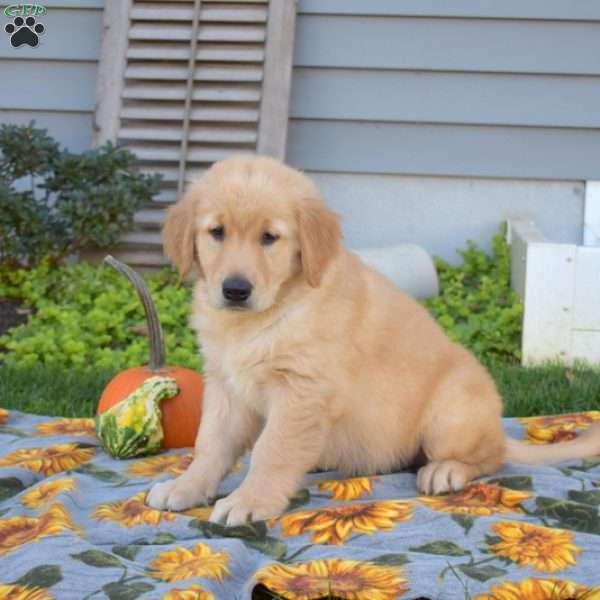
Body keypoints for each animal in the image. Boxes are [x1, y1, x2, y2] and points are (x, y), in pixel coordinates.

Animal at [148, 155, 600, 524]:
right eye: (217, 232)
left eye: (269, 238)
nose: (235, 290)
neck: (269, 313)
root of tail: (496, 426)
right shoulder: (226, 385)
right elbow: (210, 444)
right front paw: (185, 487)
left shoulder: (300, 390)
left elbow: (272, 450)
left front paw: (250, 500)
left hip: (450, 414)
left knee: (492, 457)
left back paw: (447, 469)